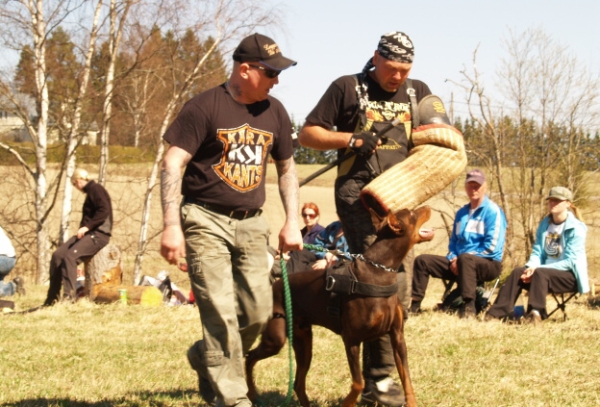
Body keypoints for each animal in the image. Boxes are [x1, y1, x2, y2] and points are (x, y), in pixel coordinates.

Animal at [246, 207, 434, 407]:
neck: (380, 271)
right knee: (250, 357)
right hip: (276, 338)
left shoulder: (397, 336)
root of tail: (274, 285)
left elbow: (406, 377)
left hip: (303, 341)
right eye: (412, 214)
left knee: (298, 382)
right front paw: (348, 402)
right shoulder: (351, 339)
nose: (428, 207)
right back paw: (252, 394)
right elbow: (358, 383)